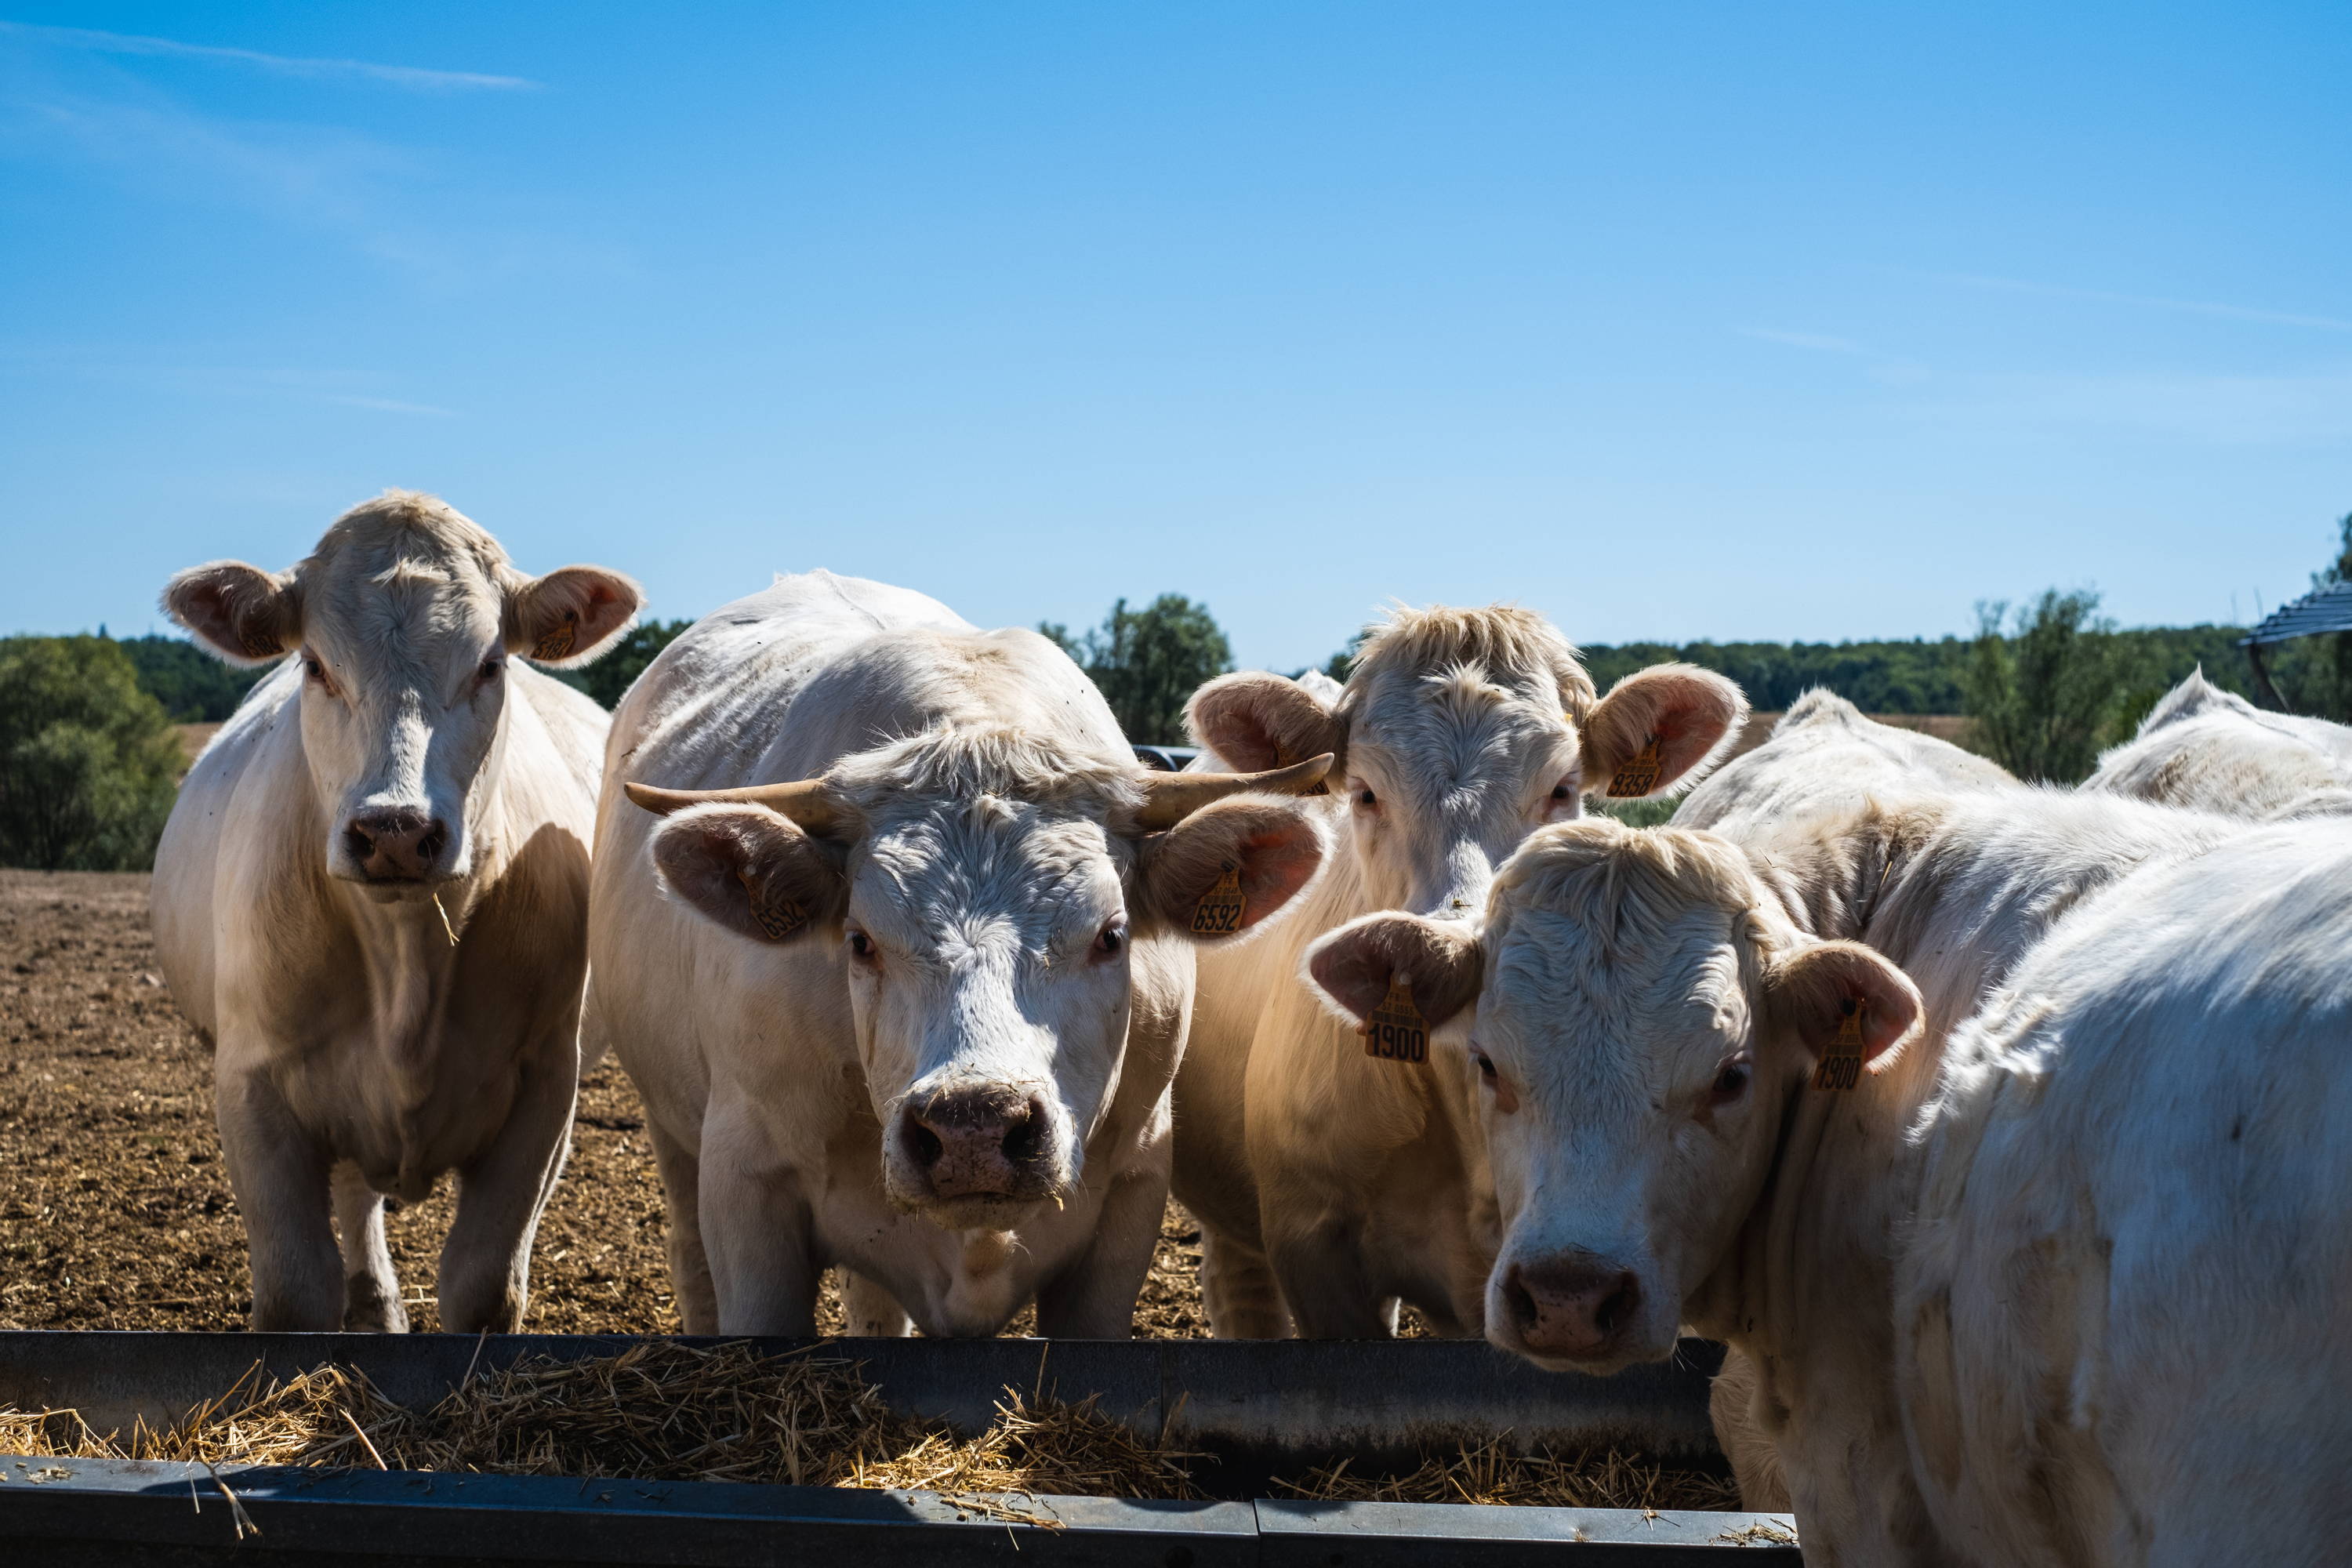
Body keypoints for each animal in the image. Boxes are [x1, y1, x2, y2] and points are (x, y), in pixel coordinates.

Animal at [151, 495, 640, 1335]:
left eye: (490, 664)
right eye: (316, 665)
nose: (396, 831)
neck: (406, 960)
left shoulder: (546, 1092)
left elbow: (484, 1286)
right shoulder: (252, 1087)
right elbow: (294, 1291)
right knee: (355, 1199)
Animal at [581, 573, 1336, 1335]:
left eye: (1111, 935)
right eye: (860, 941)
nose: (975, 1128)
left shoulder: (1131, 1195)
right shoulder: (746, 1185)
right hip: (672, 1132)